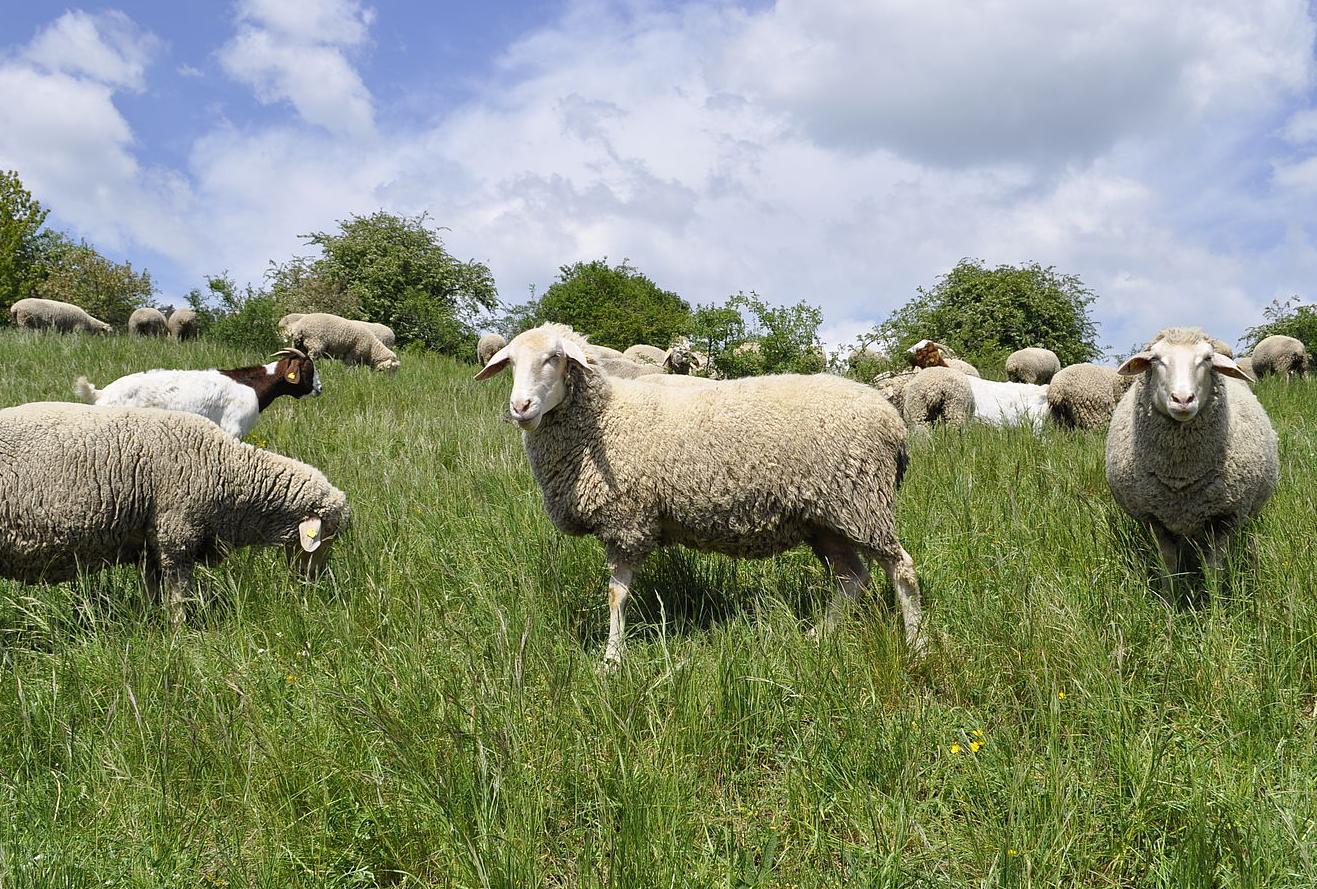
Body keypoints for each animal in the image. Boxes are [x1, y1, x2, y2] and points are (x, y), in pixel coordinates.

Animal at [0, 402, 349, 623]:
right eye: (327, 537)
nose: (314, 581)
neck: (229, 472)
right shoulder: (176, 534)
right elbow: (179, 595)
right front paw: (180, 635)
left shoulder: (150, 544)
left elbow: (155, 592)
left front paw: (154, 624)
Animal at [476, 323, 922, 666]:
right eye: (510, 363)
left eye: (554, 358)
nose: (520, 407)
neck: (602, 419)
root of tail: (893, 421)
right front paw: (613, 655)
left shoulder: (627, 520)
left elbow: (616, 595)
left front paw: (611, 660)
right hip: (826, 517)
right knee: (852, 577)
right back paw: (819, 636)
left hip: (861, 501)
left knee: (901, 568)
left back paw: (916, 645)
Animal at [1105, 327, 1276, 593]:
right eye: (1155, 359)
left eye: (1207, 359)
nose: (1183, 399)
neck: (1181, 478)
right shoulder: (1155, 518)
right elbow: (1168, 566)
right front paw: (1170, 599)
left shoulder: (1225, 517)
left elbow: (1213, 568)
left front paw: (1214, 600)